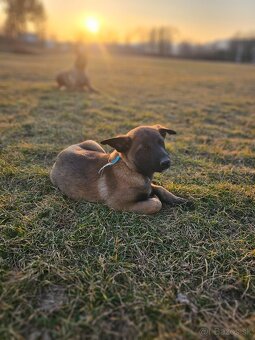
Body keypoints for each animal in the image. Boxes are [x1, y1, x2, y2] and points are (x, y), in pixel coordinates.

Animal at [50, 125, 189, 215]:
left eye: (161, 143)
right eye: (144, 149)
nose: (167, 162)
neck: (130, 168)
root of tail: (60, 155)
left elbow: (161, 189)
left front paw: (178, 200)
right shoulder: (117, 203)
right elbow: (156, 204)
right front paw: (153, 197)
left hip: (95, 145)